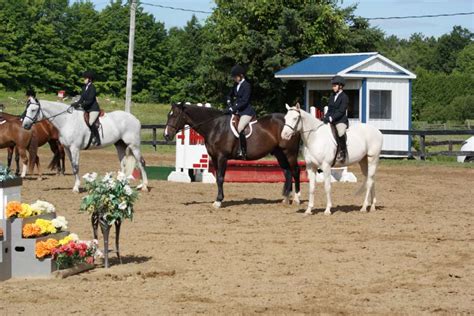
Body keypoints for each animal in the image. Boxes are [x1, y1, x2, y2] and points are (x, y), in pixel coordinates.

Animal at [165, 102, 302, 209]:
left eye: (175, 115)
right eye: (168, 115)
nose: (166, 135)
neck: (215, 126)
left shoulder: (222, 157)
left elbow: (221, 178)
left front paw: (218, 201)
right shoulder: (214, 157)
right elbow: (217, 179)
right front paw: (218, 199)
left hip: (290, 152)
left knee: (295, 171)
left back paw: (297, 199)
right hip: (279, 153)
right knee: (287, 172)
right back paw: (285, 199)